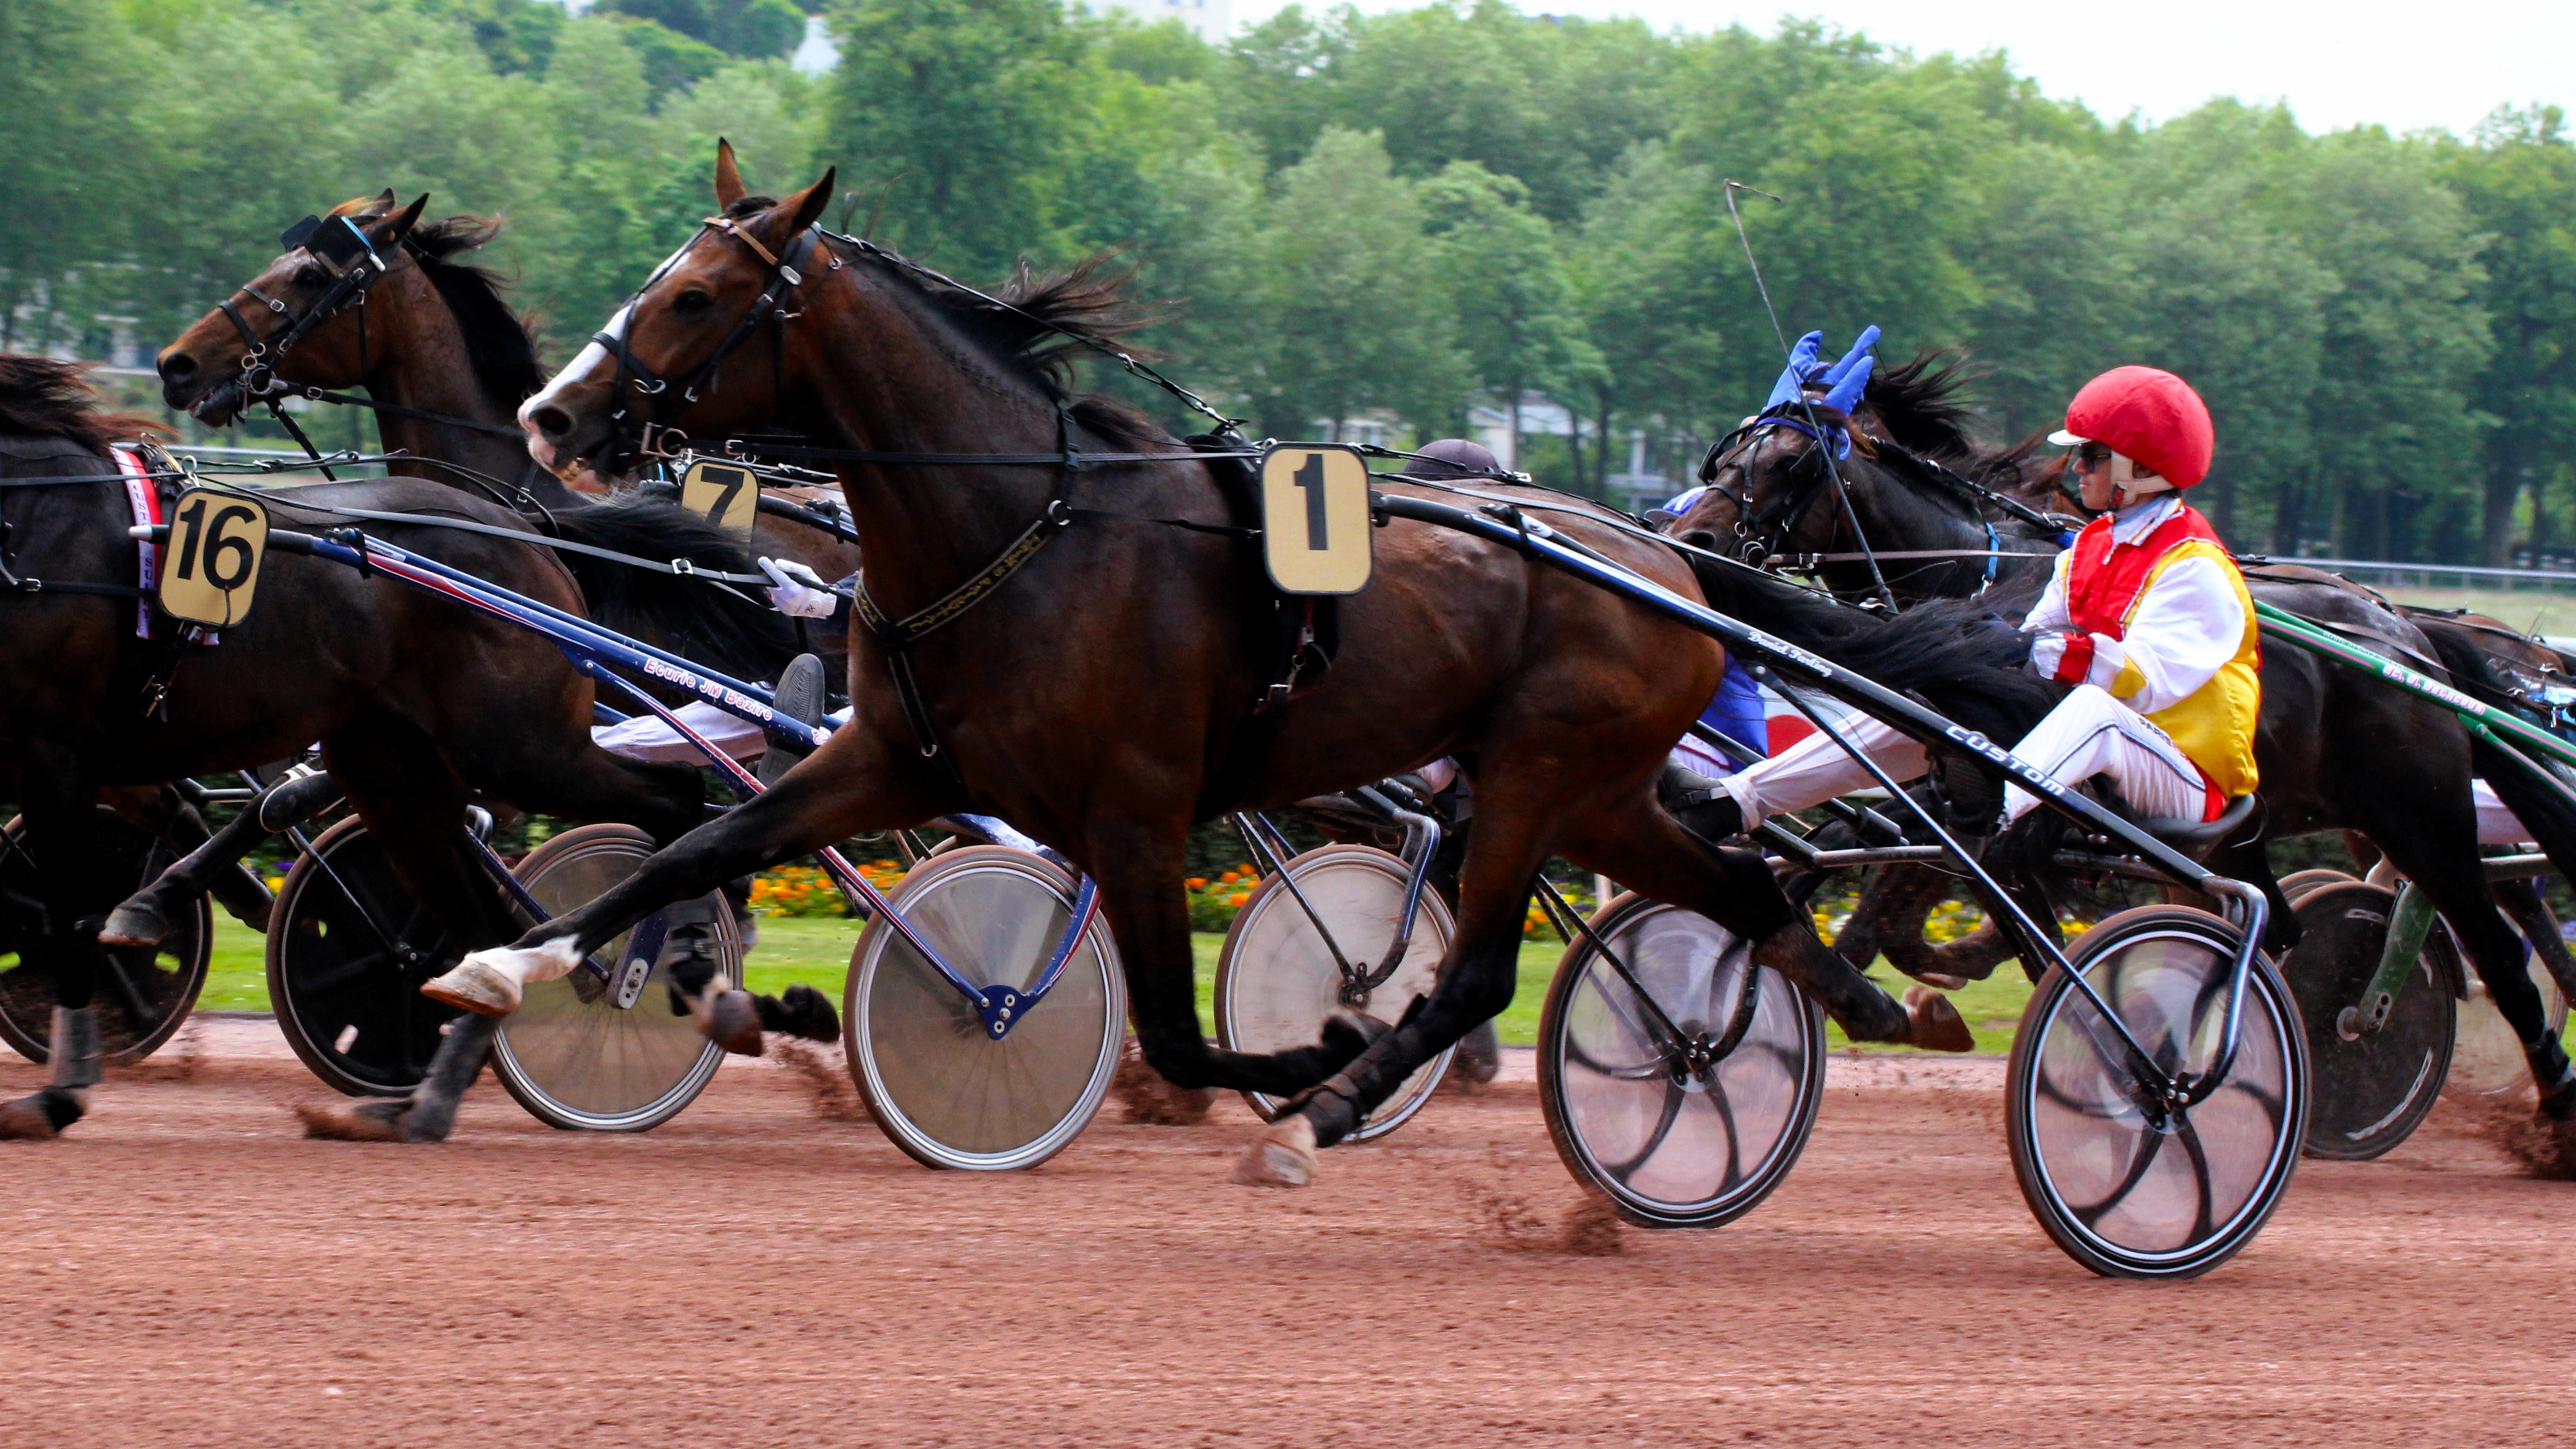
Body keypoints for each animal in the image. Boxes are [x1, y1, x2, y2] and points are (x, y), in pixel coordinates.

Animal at [412, 159, 2091, 1184]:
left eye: (696, 296)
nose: (555, 419)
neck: (1022, 527)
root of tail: (1657, 558)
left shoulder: (1142, 810)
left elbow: (1168, 1024)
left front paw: (1305, 1053)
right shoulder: (886, 758)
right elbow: (691, 846)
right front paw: (506, 966)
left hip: (1535, 769)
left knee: (1476, 964)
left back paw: (1338, 1102)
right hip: (1604, 788)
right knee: (1738, 887)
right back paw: (1851, 1011)